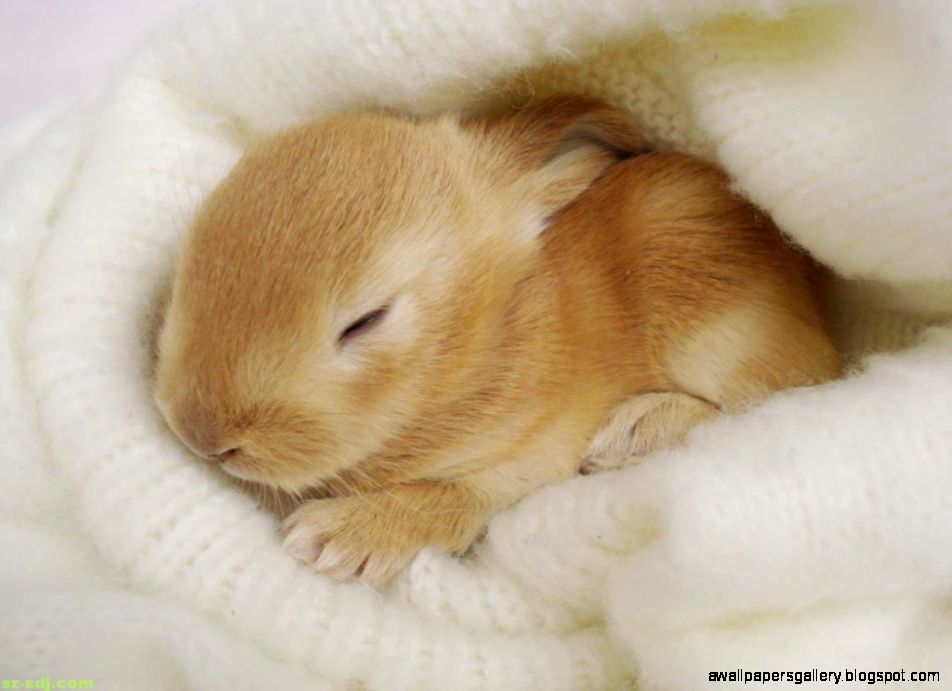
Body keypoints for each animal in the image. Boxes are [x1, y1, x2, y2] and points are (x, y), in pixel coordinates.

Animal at [153, 96, 839, 587]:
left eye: (365, 321)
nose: (203, 434)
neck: (474, 344)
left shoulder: (523, 459)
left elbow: (446, 499)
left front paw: (331, 539)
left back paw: (631, 431)